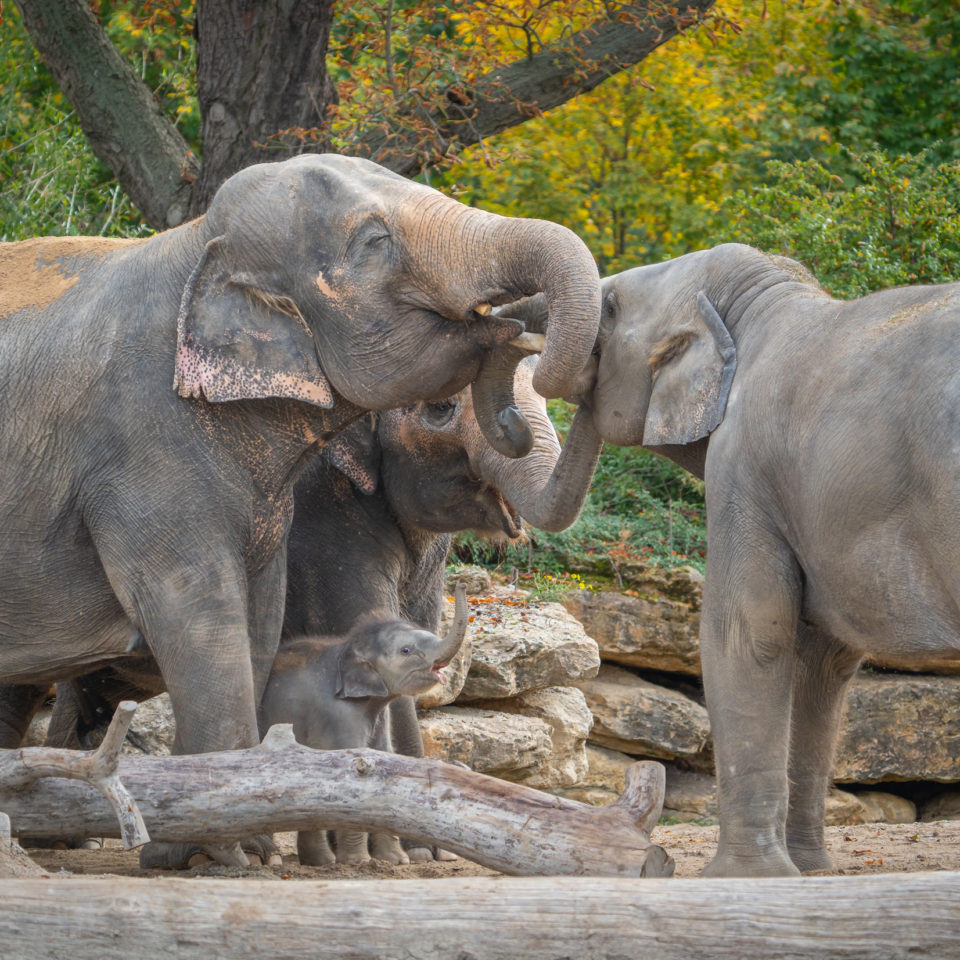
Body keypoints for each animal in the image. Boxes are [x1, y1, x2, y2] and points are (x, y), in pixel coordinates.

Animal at [261, 584, 469, 867]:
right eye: (406, 651)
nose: (461, 586)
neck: (347, 647)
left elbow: (382, 758)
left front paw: (394, 861)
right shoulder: (338, 714)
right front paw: (358, 862)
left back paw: (320, 862)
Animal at [585, 241, 960, 877]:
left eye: (609, 309)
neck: (763, 299)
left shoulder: (742, 467)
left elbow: (748, 632)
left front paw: (739, 878)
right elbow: (823, 657)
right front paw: (809, 873)